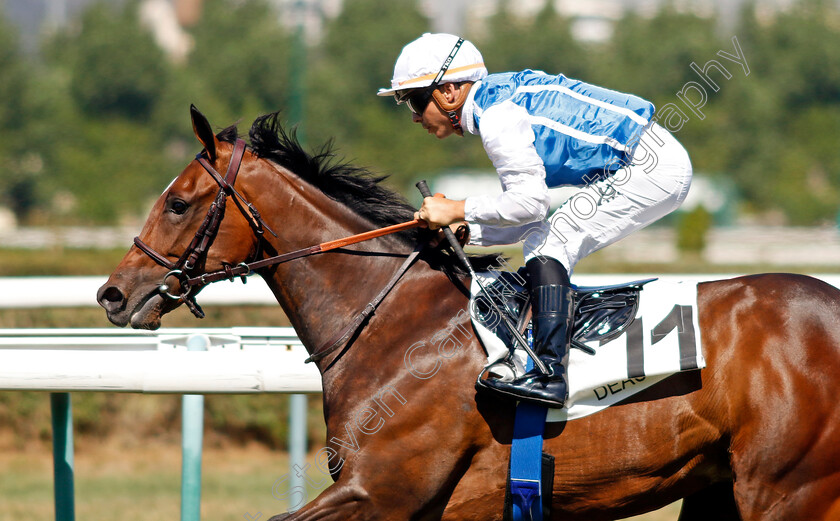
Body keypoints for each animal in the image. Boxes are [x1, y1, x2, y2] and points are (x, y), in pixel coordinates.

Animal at [97, 106, 840, 520]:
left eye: (178, 202)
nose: (113, 293)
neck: (395, 324)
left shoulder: (381, 492)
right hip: (720, 488)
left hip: (787, 490)